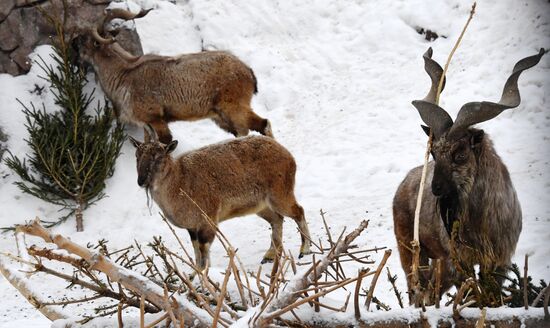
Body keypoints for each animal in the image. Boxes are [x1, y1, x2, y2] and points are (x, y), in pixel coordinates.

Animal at [76, 7, 274, 144]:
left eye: (86, 38)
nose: (73, 43)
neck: (124, 74)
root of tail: (248, 71)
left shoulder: (156, 119)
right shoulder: (146, 125)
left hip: (234, 109)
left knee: (257, 127)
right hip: (221, 117)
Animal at [128, 125, 310, 270]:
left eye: (158, 157)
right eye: (137, 156)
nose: (141, 180)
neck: (180, 181)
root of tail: (288, 155)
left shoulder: (208, 219)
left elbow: (204, 251)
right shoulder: (192, 227)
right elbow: (196, 252)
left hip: (280, 193)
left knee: (298, 211)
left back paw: (304, 250)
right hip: (260, 205)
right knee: (277, 219)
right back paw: (270, 255)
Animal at [394, 47, 544, 304]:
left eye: (461, 154)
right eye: (433, 152)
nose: (435, 189)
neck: (481, 222)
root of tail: (402, 185)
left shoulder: (499, 260)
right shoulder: (459, 260)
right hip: (411, 249)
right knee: (419, 290)